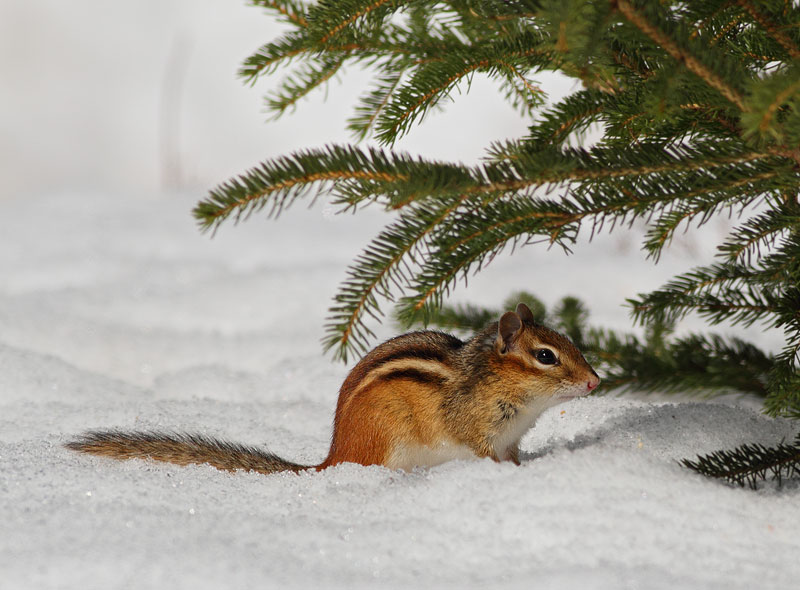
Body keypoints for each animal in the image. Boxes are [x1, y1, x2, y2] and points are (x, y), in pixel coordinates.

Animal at [67, 303, 600, 474]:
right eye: (546, 356)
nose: (596, 381)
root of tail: (334, 456)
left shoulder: (511, 440)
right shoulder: (478, 431)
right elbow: (483, 452)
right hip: (389, 445)